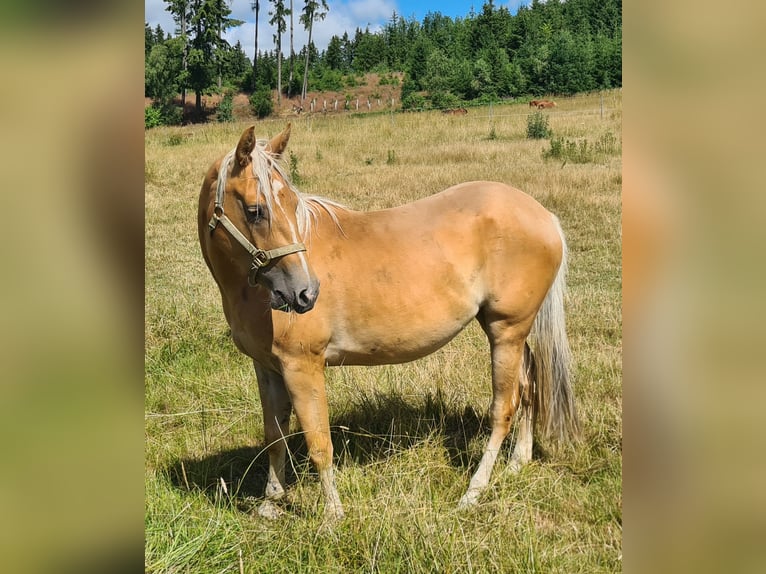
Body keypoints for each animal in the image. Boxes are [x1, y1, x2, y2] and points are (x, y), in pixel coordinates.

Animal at [197, 124, 579, 521]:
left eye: (291, 205)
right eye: (256, 211)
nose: (306, 293)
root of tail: (543, 216)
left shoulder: (302, 367)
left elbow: (319, 442)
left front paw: (333, 516)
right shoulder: (267, 368)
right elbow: (275, 436)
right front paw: (271, 503)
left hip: (507, 331)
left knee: (504, 407)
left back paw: (473, 492)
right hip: (511, 332)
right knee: (530, 384)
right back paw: (518, 462)